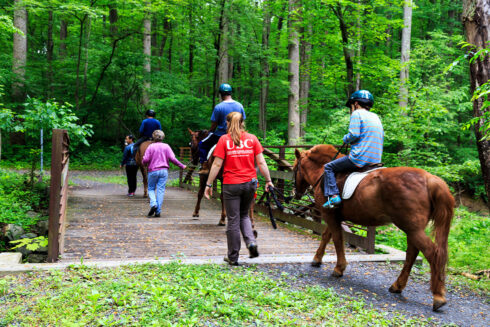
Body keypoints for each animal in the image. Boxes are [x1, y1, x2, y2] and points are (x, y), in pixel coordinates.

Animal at [292, 145, 454, 312]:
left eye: (294, 168)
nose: (295, 193)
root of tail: (429, 179)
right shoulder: (334, 216)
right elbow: (326, 236)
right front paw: (317, 259)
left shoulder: (329, 215)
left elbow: (336, 239)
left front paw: (339, 268)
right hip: (413, 229)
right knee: (412, 253)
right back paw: (398, 286)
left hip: (412, 228)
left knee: (432, 253)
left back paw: (438, 296)